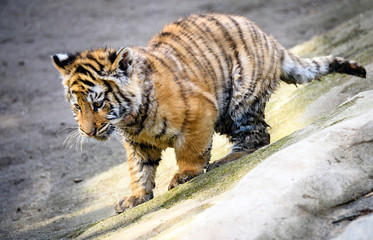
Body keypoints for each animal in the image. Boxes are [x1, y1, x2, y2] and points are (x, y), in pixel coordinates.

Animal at [50, 13, 364, 213]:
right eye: (77, 106)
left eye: (98, 104)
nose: (87, 131)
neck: (131, 119)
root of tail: (269, 39)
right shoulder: (137, 143)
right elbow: (138, 169)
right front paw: (136, 197)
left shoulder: (200, 113)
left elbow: (190, 149)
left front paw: (184, 175)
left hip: (238, 103)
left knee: (257, 136)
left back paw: (226, 159)